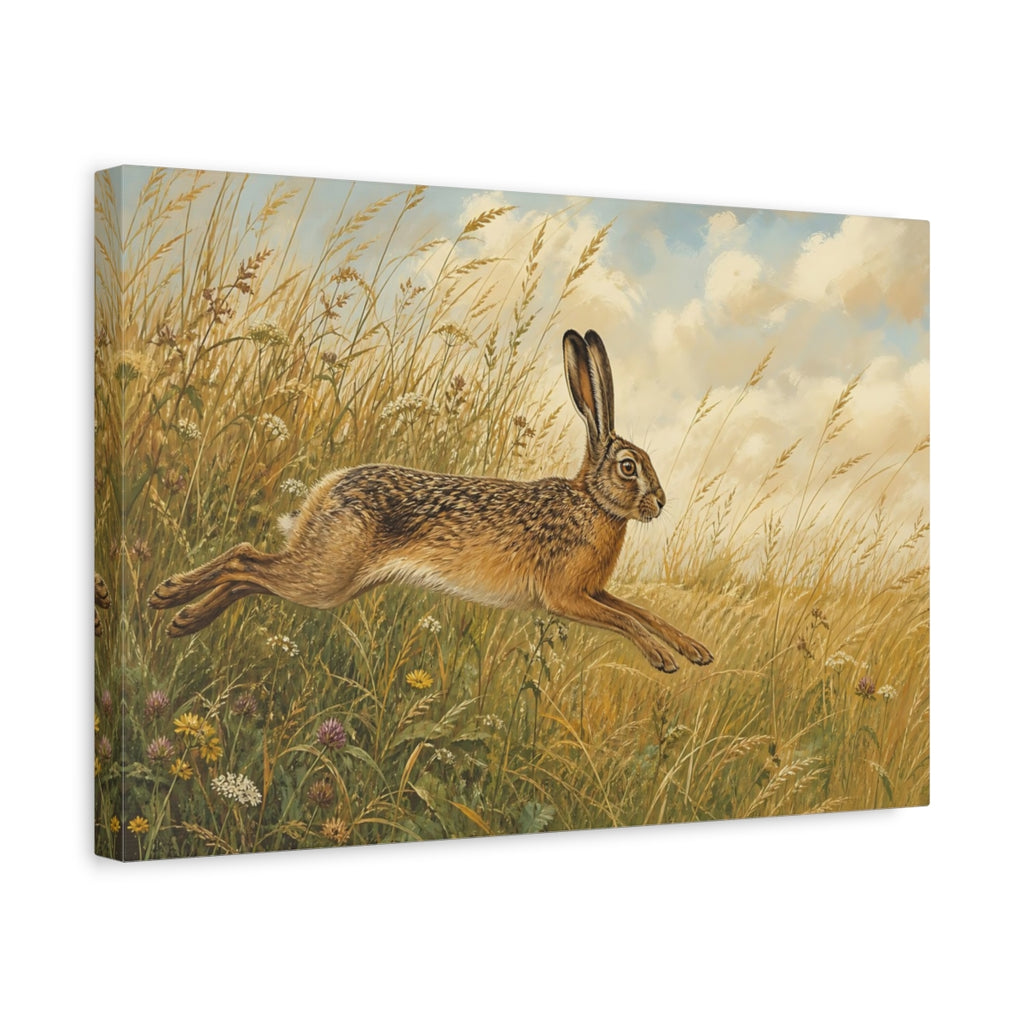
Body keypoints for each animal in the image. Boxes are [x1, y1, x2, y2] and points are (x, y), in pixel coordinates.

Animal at [150, 329, 712, 672]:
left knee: (249, 571)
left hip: (330, 579)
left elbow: (640, 611)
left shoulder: (592, 591)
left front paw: (694, 651)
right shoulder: (564, 596)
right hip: (325, 576)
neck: (592, 502)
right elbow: (626, 620)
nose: (661, 503)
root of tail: (325, 491)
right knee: (245, 561)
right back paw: (173, 602)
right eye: (629, 467)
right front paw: (662, 659)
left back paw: (179, 614)